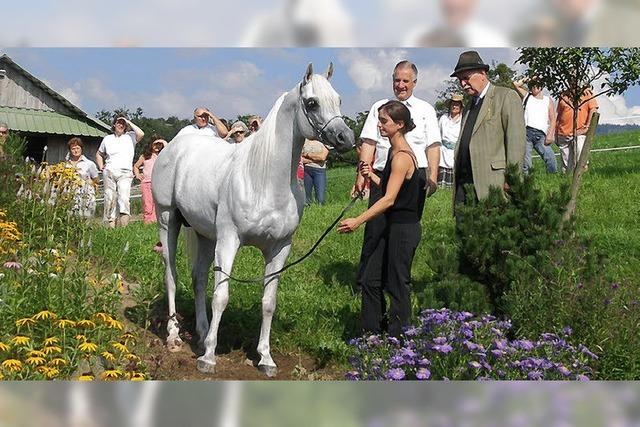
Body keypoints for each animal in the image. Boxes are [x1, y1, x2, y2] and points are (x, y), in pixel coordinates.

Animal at [152, 61, 352, 376]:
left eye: (339, 99)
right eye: (312, 102)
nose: (346, 139)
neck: (263, 179)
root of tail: (174, 146)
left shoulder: (280, 249)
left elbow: (268, 302)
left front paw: (266, 359)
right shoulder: (229, 241)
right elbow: (221, 296)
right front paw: (208, 359)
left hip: (205, 236)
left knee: (198, 279)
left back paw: (202, 333)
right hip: (167, 220)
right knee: (171, 277)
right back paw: (174, 337)